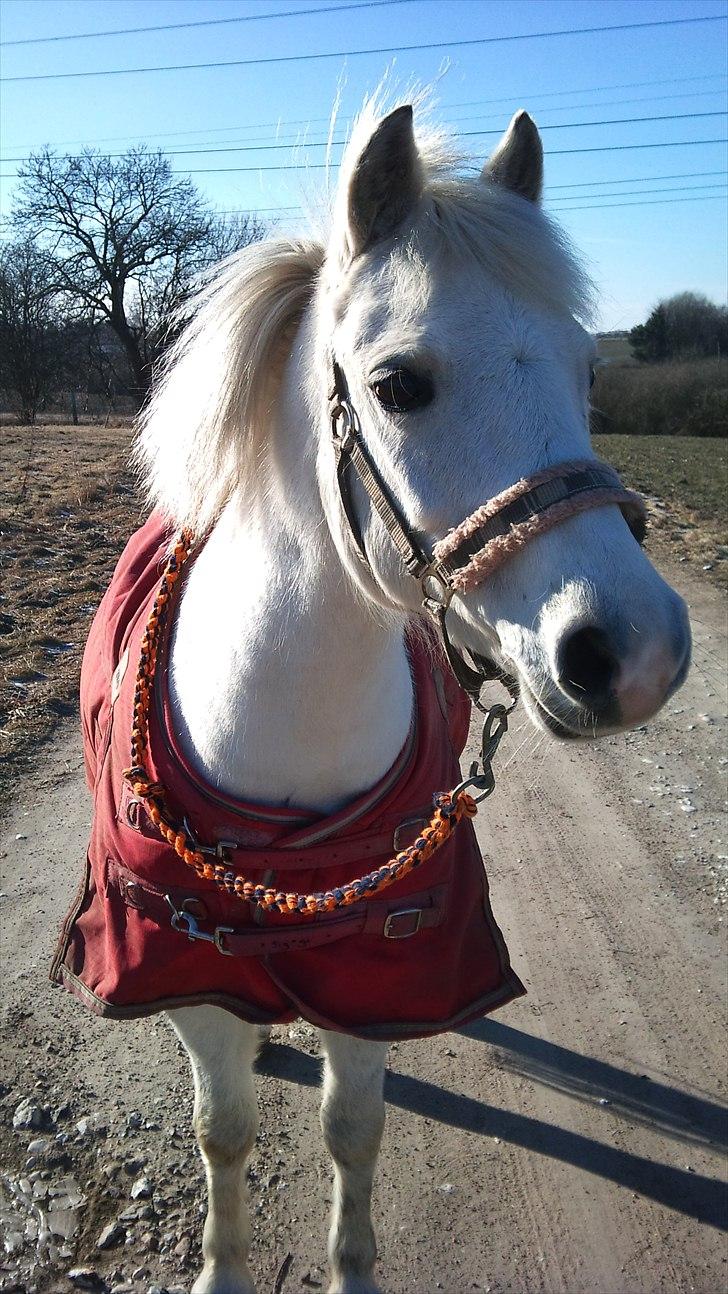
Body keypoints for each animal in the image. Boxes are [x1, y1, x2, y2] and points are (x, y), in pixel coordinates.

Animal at [135, 98, 687, 1294]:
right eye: (396, 386)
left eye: (588, 372)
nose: (635, 653)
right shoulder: (189, 986)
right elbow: (221, 1130)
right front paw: (222, 1266)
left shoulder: (375, 980)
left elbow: (353, 1130)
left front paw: (352, 1266)